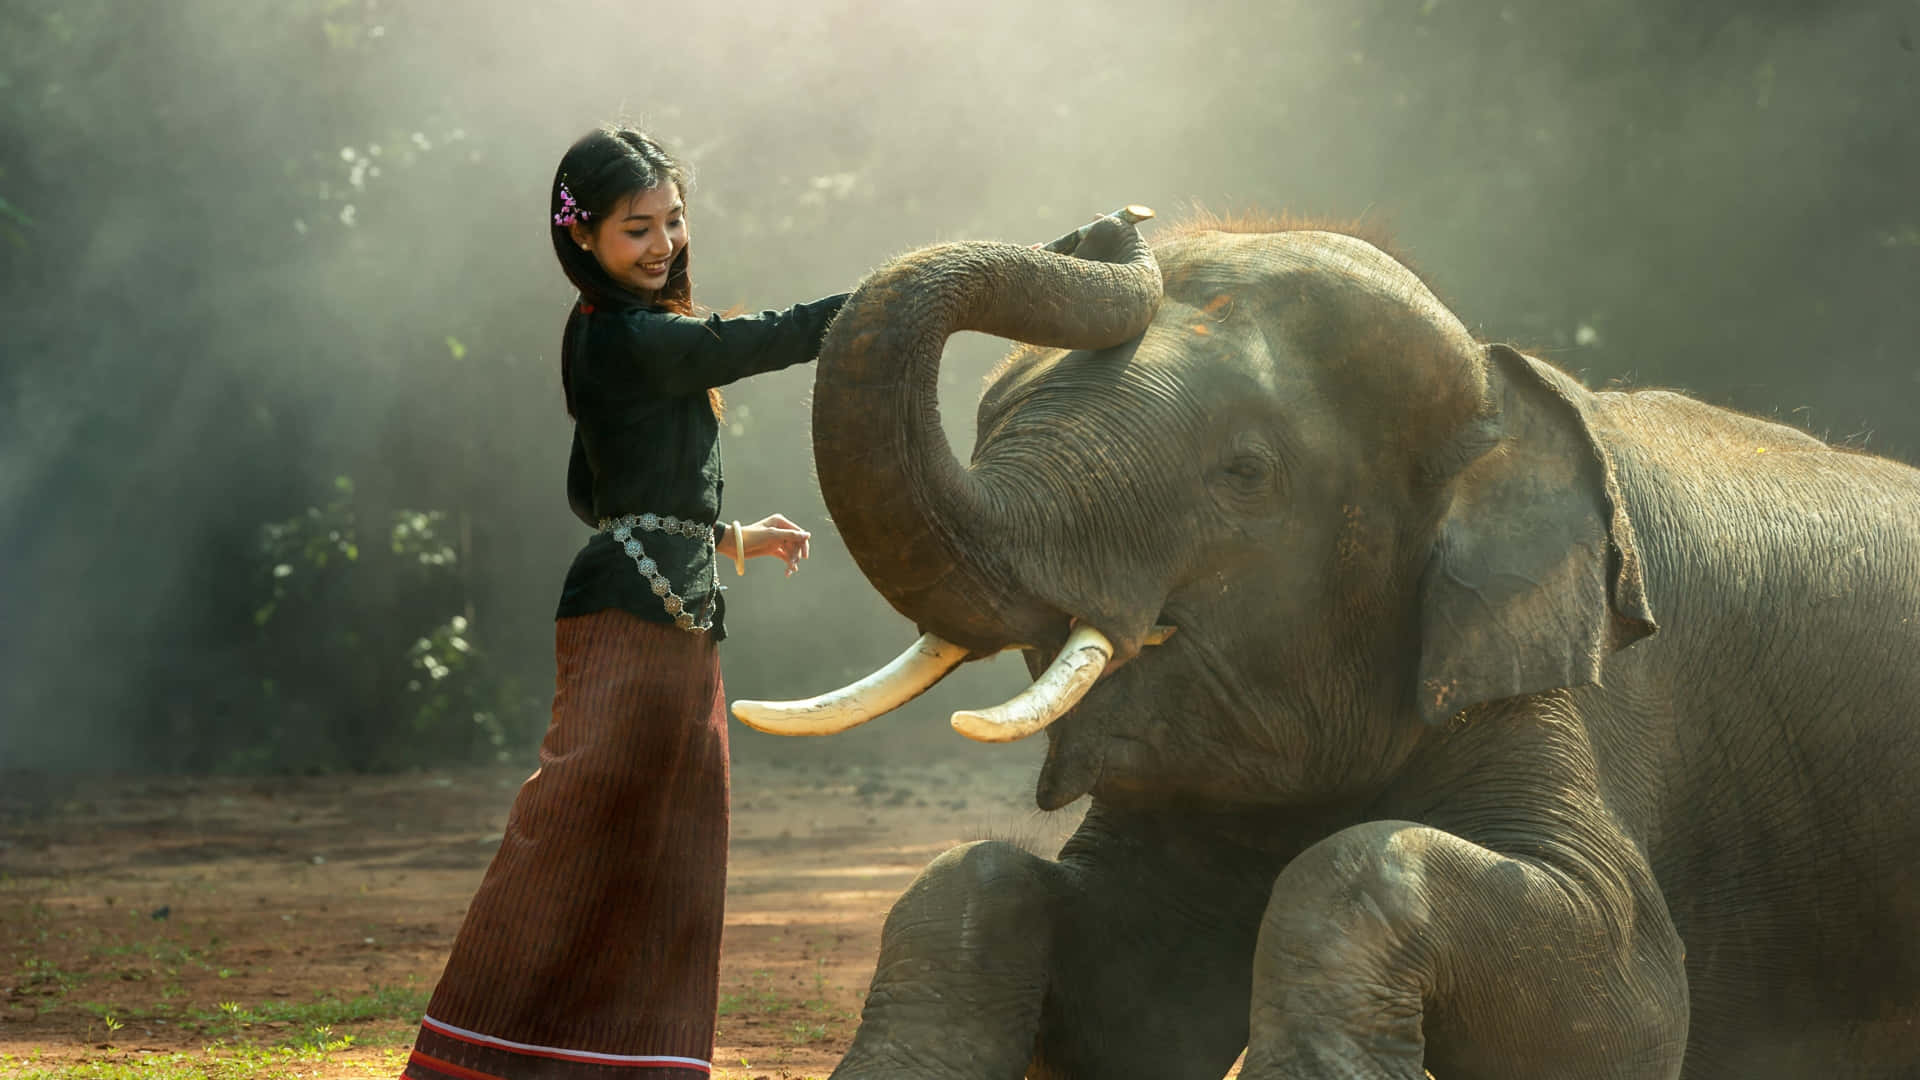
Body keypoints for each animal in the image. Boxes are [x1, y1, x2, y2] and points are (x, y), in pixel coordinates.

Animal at [733, 210, 1920, 1078]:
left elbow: (1626, 992)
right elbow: (1106, 976)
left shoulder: (1560, 674)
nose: (1112, 223)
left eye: (1244, 473)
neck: (1502, 385)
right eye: (988, 426)